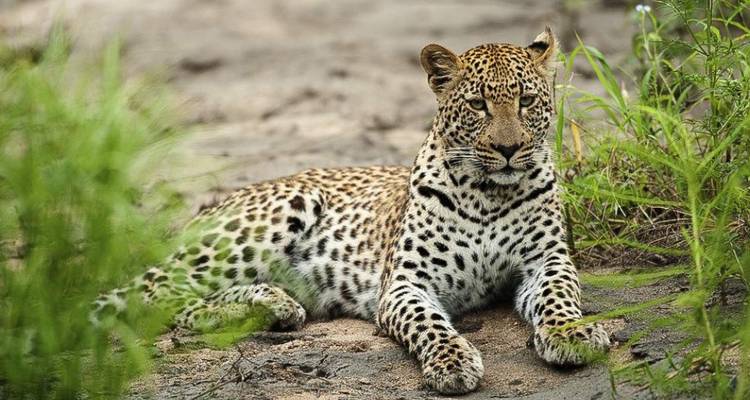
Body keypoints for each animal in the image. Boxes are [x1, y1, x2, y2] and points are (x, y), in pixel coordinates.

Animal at [92, 27, 610, 395]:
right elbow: (430, 326)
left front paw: (572, 334)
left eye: (527, 101)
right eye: (478, 105)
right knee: (158, 297)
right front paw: (452, 362)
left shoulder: (547, 260)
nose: (508, 150)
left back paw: (272, 305)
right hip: (280, 210)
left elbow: (560, 295)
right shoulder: (405, 284)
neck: (488, 195)